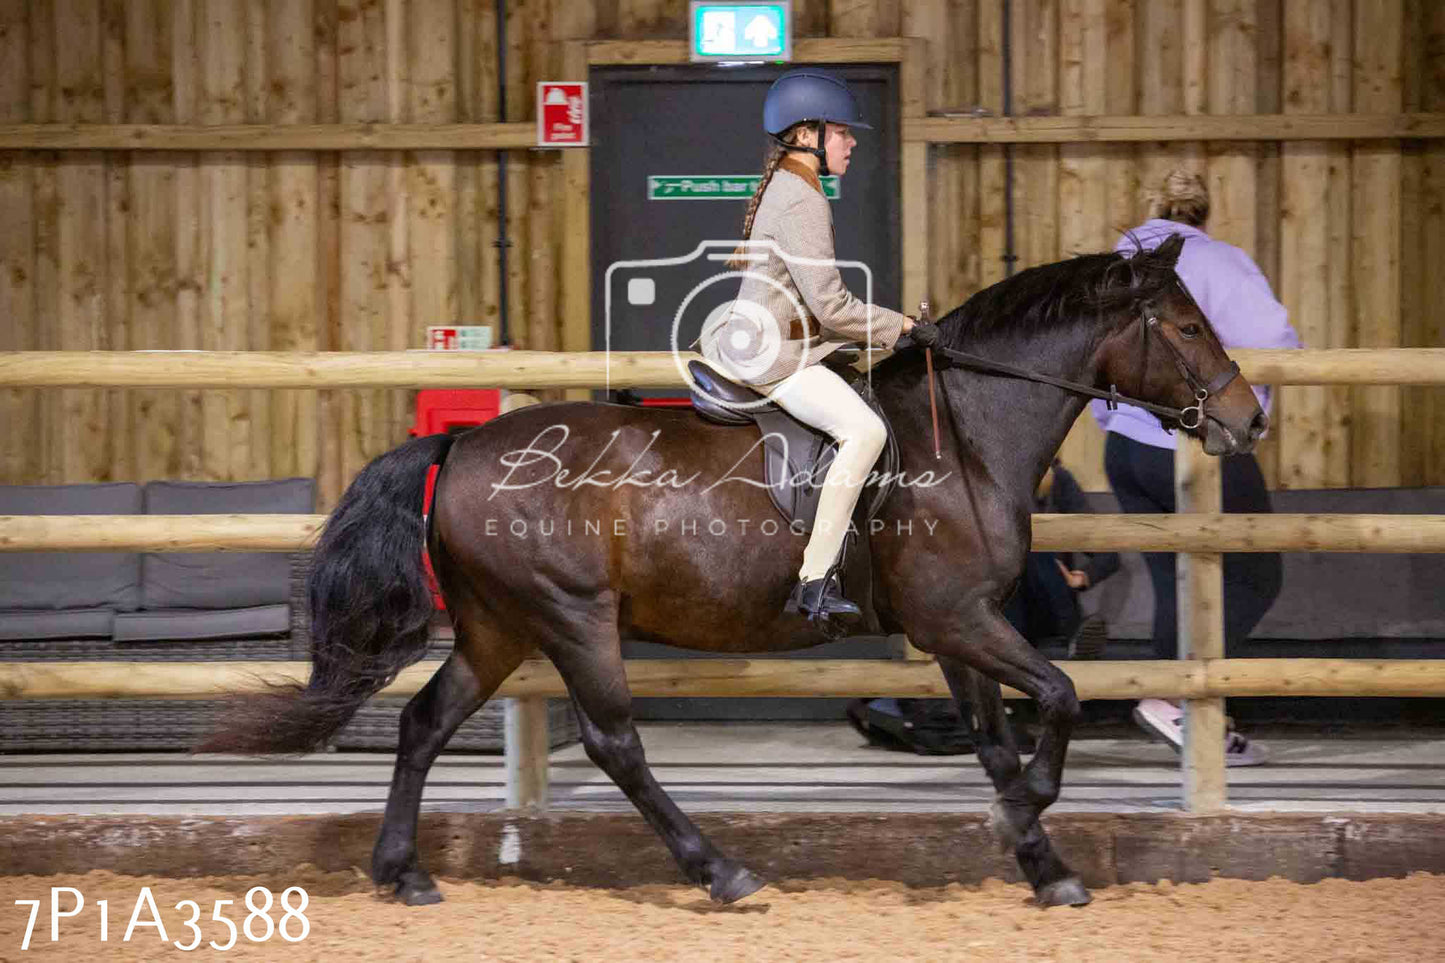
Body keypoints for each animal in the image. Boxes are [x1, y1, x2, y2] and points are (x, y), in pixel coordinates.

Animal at [203, 234, 1265, 908]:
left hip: (501, 626)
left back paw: (404, 871)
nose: (1247, 418)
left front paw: (1043, 865)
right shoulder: (957, 619)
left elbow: (999, 740)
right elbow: (1058, 694)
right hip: (572, 616)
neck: (964, 431)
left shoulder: (958, 628)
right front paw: (1029, 816)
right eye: (1184, 327)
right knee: (615, 744)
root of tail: (459, 444)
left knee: (425, 721)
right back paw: (720, 871)